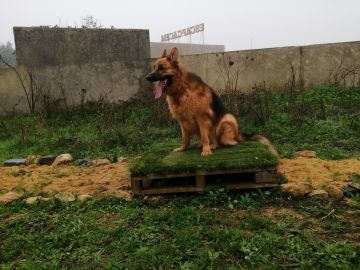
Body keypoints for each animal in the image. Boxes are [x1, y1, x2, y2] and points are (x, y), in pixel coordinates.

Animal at [145, 46, 278, 156]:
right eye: (154, 67)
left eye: (162, 68)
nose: (147, 77)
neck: (181, 89)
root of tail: (238, 134)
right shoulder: (182, 121)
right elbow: (185, 138)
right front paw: (183, 148)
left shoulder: (202, 118)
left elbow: (204, 136)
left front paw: (206, 150)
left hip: (226, 120)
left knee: (226, 142)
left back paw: (214, 145)